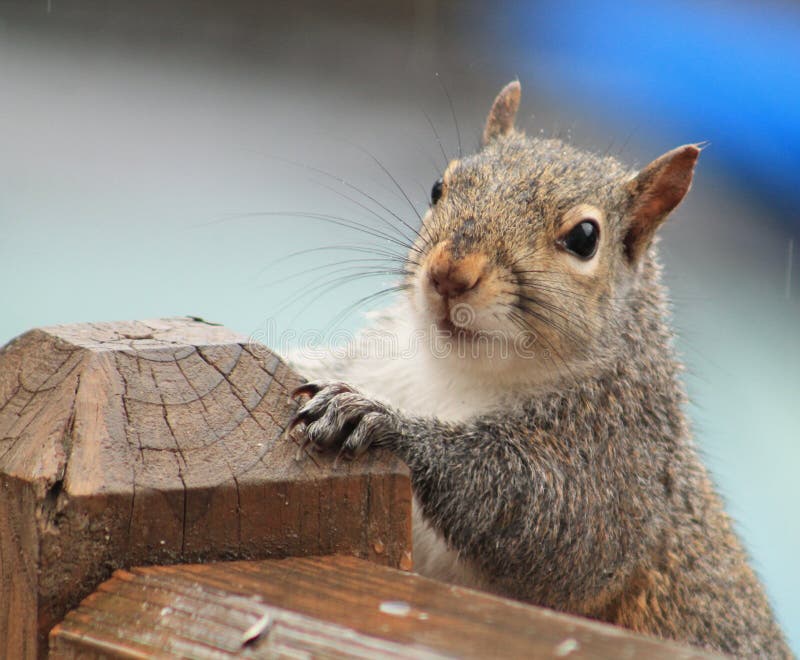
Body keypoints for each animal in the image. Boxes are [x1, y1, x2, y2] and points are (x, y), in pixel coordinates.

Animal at [284, 81, 792, 656]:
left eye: (585, 238)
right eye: (440, 187)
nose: (450, 272)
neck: (451, 373)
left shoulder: (618, 460)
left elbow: (551, 525)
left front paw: (377, 419)